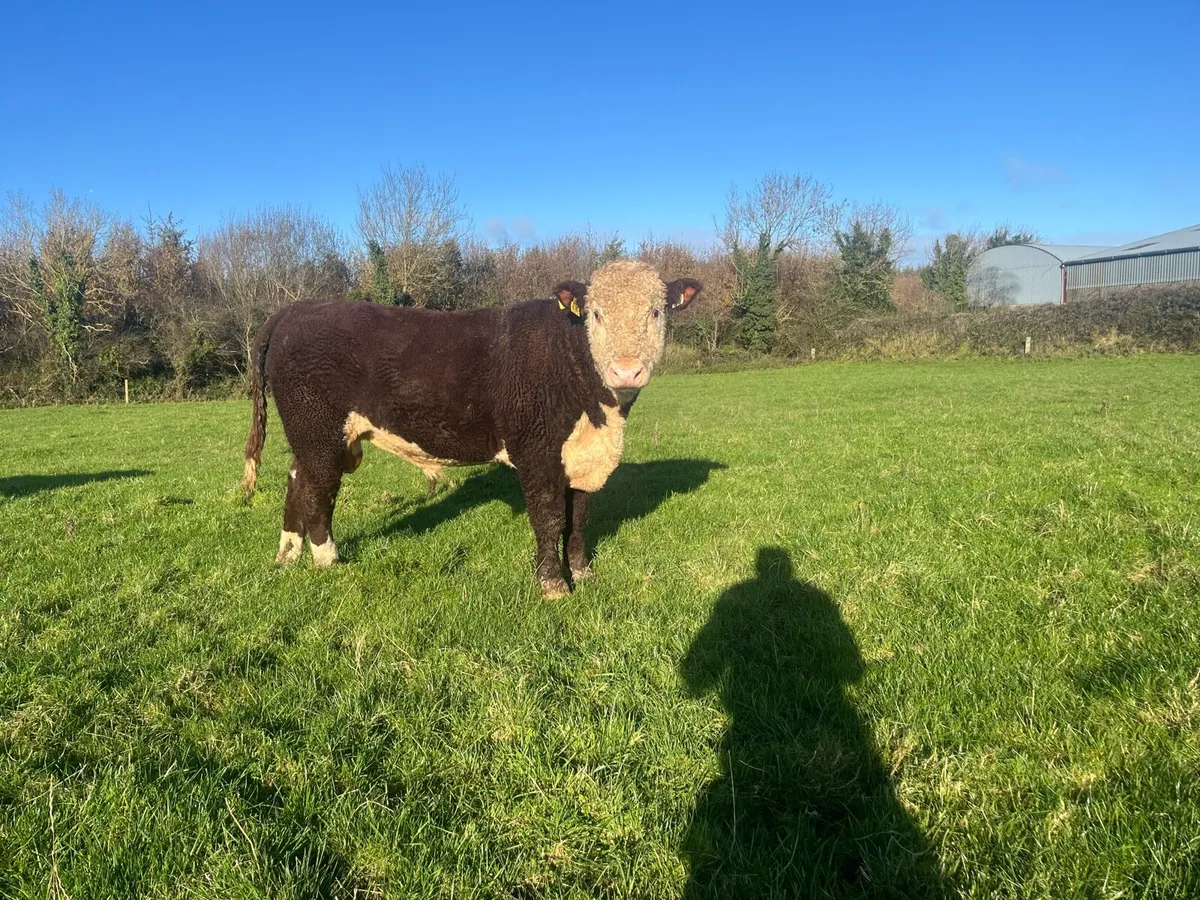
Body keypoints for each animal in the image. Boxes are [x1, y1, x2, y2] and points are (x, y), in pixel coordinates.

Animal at [240, 260, 702, 598]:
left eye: (655, 311)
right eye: (596, 314)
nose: (626, 370)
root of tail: (298, 308)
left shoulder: (581, 458)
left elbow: (579, 519)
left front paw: (583, 573)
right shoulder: (536, 451)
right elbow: (549, 517)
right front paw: (553, 584)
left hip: (310, 436)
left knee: (296, 480)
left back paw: (288, 553)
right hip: (320, 432)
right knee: (318, 490)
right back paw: (327, 559)